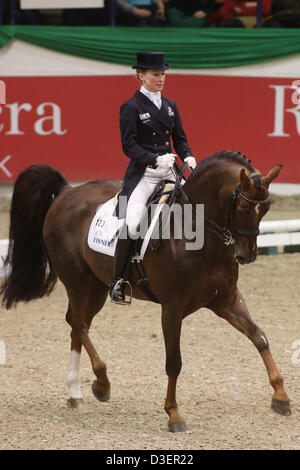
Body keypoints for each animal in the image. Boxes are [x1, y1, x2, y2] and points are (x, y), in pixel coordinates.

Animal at [0, 151, 290, 434]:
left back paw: (75, 393)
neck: (199, 236)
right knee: (79, 324)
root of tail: (66, 192)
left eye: (265, 208)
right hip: (78, 281)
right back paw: (102, 384)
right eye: (242, 207)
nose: (247, 255)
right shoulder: (172, 308)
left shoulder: (226, 300)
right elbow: (174, 361)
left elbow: (259, 337)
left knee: (76, 324)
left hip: (95, 287)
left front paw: (281, 397)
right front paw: (174, 414)